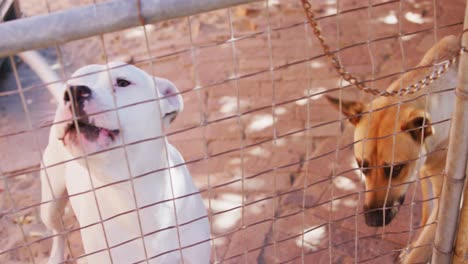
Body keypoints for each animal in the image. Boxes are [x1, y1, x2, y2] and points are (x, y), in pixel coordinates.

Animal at [328, 34, 458, 262]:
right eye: (362, 166)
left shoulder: (446, 204)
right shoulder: (422, 170)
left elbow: (421, 249)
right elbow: (426, 212)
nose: (371, 221)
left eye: (396, 168)